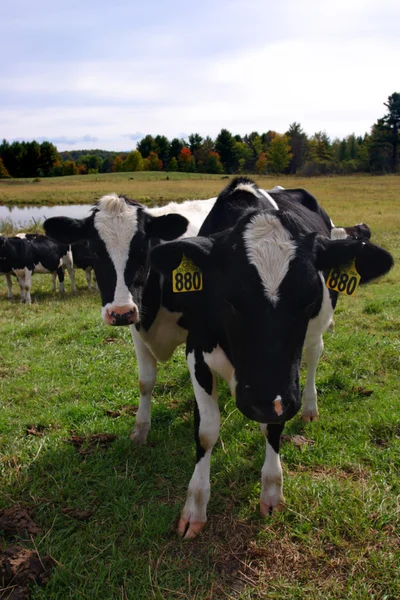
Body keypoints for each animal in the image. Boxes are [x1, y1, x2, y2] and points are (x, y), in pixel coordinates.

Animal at [43, 179, 394, 540]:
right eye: (94, 250)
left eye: (309, 297)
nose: (120, 311)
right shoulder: (175, 343)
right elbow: (183, 412)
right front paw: (187, 496)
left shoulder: (281, 385)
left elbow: (273, 426)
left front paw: (271, 490)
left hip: (316, 333)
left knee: (314, 354)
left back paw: (310, 407)